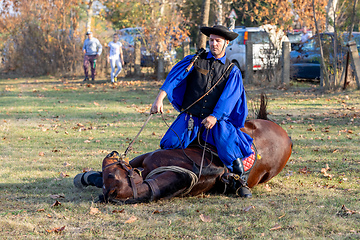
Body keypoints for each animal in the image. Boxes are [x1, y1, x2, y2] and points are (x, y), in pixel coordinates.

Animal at [75, 94, 292, 203]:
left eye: (112, 175)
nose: (112, 154)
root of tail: (286, 136)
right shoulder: (144, 160)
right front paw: (86, 177)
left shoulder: (152, 157)